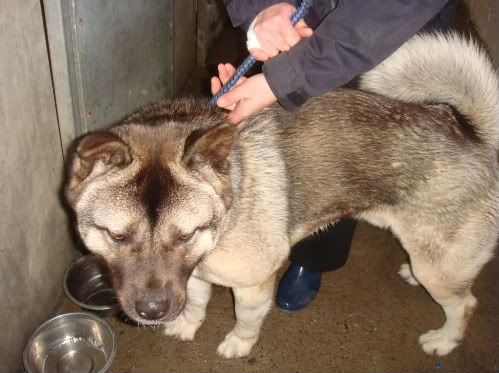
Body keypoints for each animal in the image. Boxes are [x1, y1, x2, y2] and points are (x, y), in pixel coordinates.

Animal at [66, 33, 499, 358]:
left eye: (185, 234)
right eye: (117, 235)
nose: (153, 311)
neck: (228, 210)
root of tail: (475, 140)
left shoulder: (252, 284)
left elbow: (246, 319)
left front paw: (239, 344)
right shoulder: (193, 275)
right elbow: (195, 301)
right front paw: (187, 325)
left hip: (440, 269)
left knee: (465, 304)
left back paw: (445, 340)